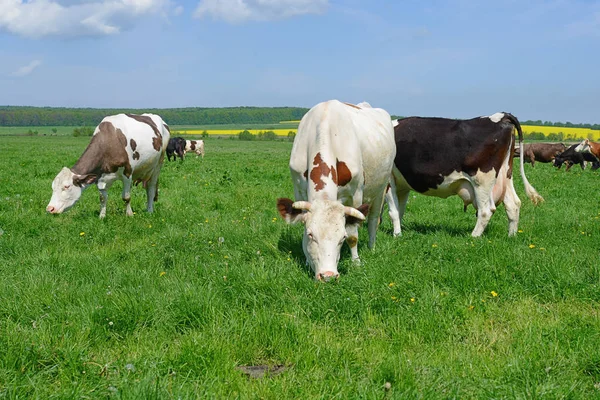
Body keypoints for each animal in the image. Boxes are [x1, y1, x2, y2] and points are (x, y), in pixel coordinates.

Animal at [276, 100, 396, 282]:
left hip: (382, 187)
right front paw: (306, 261)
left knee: (374, 220)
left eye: (342, 238)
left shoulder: (356, 195)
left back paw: (371, 246)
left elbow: (354, 234)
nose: (328, 276)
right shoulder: (298, 189)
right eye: (311, 235)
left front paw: (356, 261)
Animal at [386, 111, 548, 238]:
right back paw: (511, 236)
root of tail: (501, 116)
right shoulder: (402, 184)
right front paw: (399, 231)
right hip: (505, 175)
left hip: (482, 180)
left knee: (486, 210)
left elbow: (394, 211)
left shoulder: (388, 180)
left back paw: (473, 237)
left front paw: (396, 235)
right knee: (513, 204)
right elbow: (400, 209)